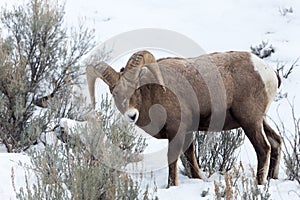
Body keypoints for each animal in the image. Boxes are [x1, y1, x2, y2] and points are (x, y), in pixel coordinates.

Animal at [86, 50, 282, 188]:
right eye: (115, 93)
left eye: (136, 89)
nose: (132, 115)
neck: (155, 94)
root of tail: (268, 73)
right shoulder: (188, 134)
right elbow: (191, 160)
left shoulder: (177, 132)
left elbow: (172, 162)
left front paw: (171, 187)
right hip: (259, 120)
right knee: (276, 142)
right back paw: (271, 179)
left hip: (250, 122)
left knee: (263, 148)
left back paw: (259, 184)